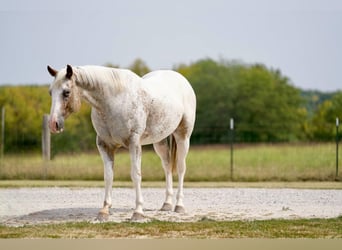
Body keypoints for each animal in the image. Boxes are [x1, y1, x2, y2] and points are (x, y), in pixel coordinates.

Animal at [47, 64, 196, 221]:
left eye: (66, 92)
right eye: (51, 92)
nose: (53, 124)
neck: (113, 101)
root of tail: (181, 79)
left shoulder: (134, 144)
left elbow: (136, 175)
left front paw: (138, 212)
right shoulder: (104, 145)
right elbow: (108, 176)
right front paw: (104, 210)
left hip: (183, 137)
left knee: (180, 168)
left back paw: (179, 206)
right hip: (160, 141)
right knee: (167, 167)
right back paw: (166, 204)